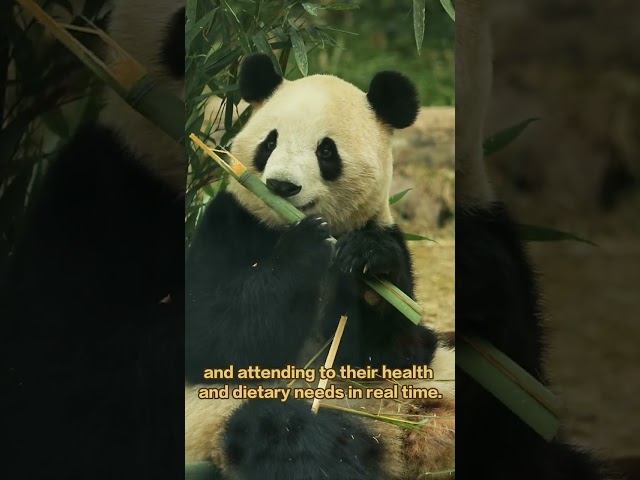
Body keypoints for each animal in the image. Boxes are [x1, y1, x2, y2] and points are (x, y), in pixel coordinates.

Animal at [184, 54, 455, 479]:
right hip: (215, 417)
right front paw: (303, 248)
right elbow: (210, 336)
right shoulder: (229, 224)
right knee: (285, 433)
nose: (281, 186)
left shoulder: (385, 230)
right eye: (270, 142)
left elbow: (398, 350)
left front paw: (368, 263)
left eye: (326, 152)